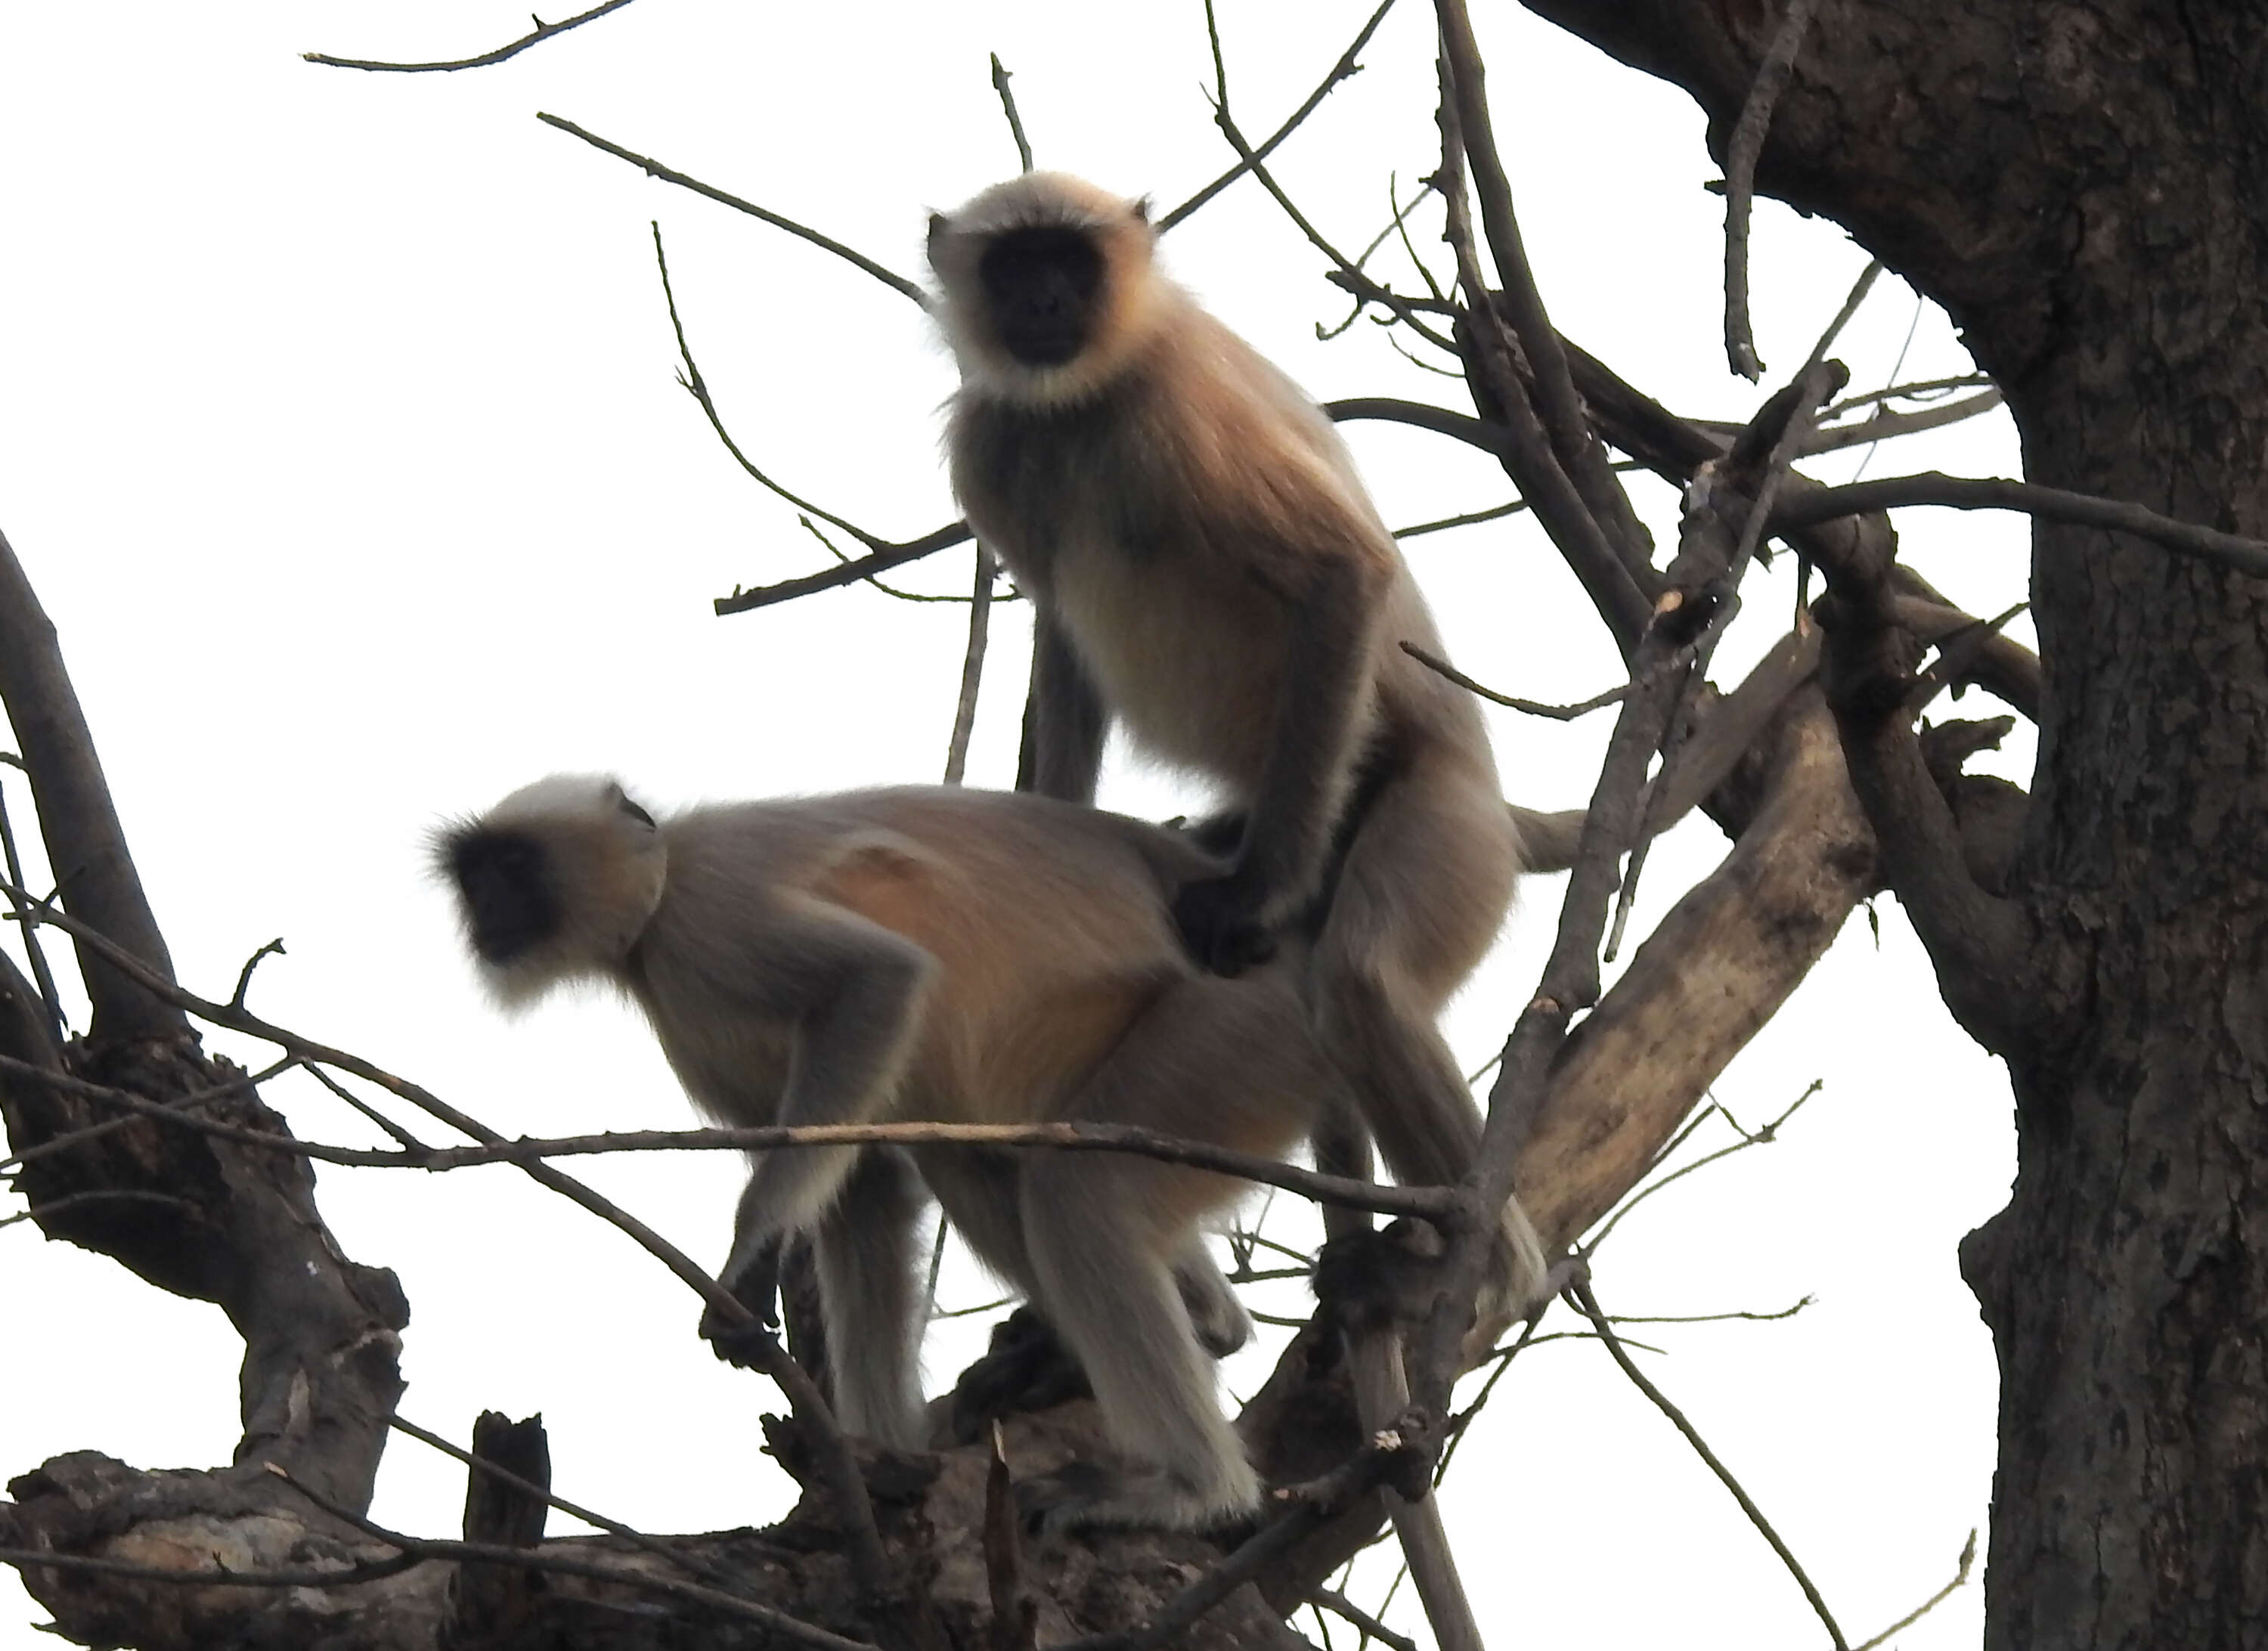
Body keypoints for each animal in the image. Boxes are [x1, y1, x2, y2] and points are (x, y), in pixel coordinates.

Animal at [445, 780, 1361, 1524]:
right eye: (476, 879)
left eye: (514, 868)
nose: (485, 916)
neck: (657, 894)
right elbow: (868, 1184)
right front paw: (879, 1463)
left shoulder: (710, 917)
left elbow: (877, 983)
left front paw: (753, 1254)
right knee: (983, 1161)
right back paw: (1203, 1328)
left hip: (1242, 1035)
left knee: (1077, 1189)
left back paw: (1187, 1492)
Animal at [921, 171, 1542, 1324]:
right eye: (1016, 267)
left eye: (1071, 264)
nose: (1045, 303)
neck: (1083, 405)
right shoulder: (994, 448)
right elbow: (1063, 642)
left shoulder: (1174, 407)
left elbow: (1343, 574)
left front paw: (1256, 899)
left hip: (1443, 814)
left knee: (1363, 982)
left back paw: (1490, 1262)